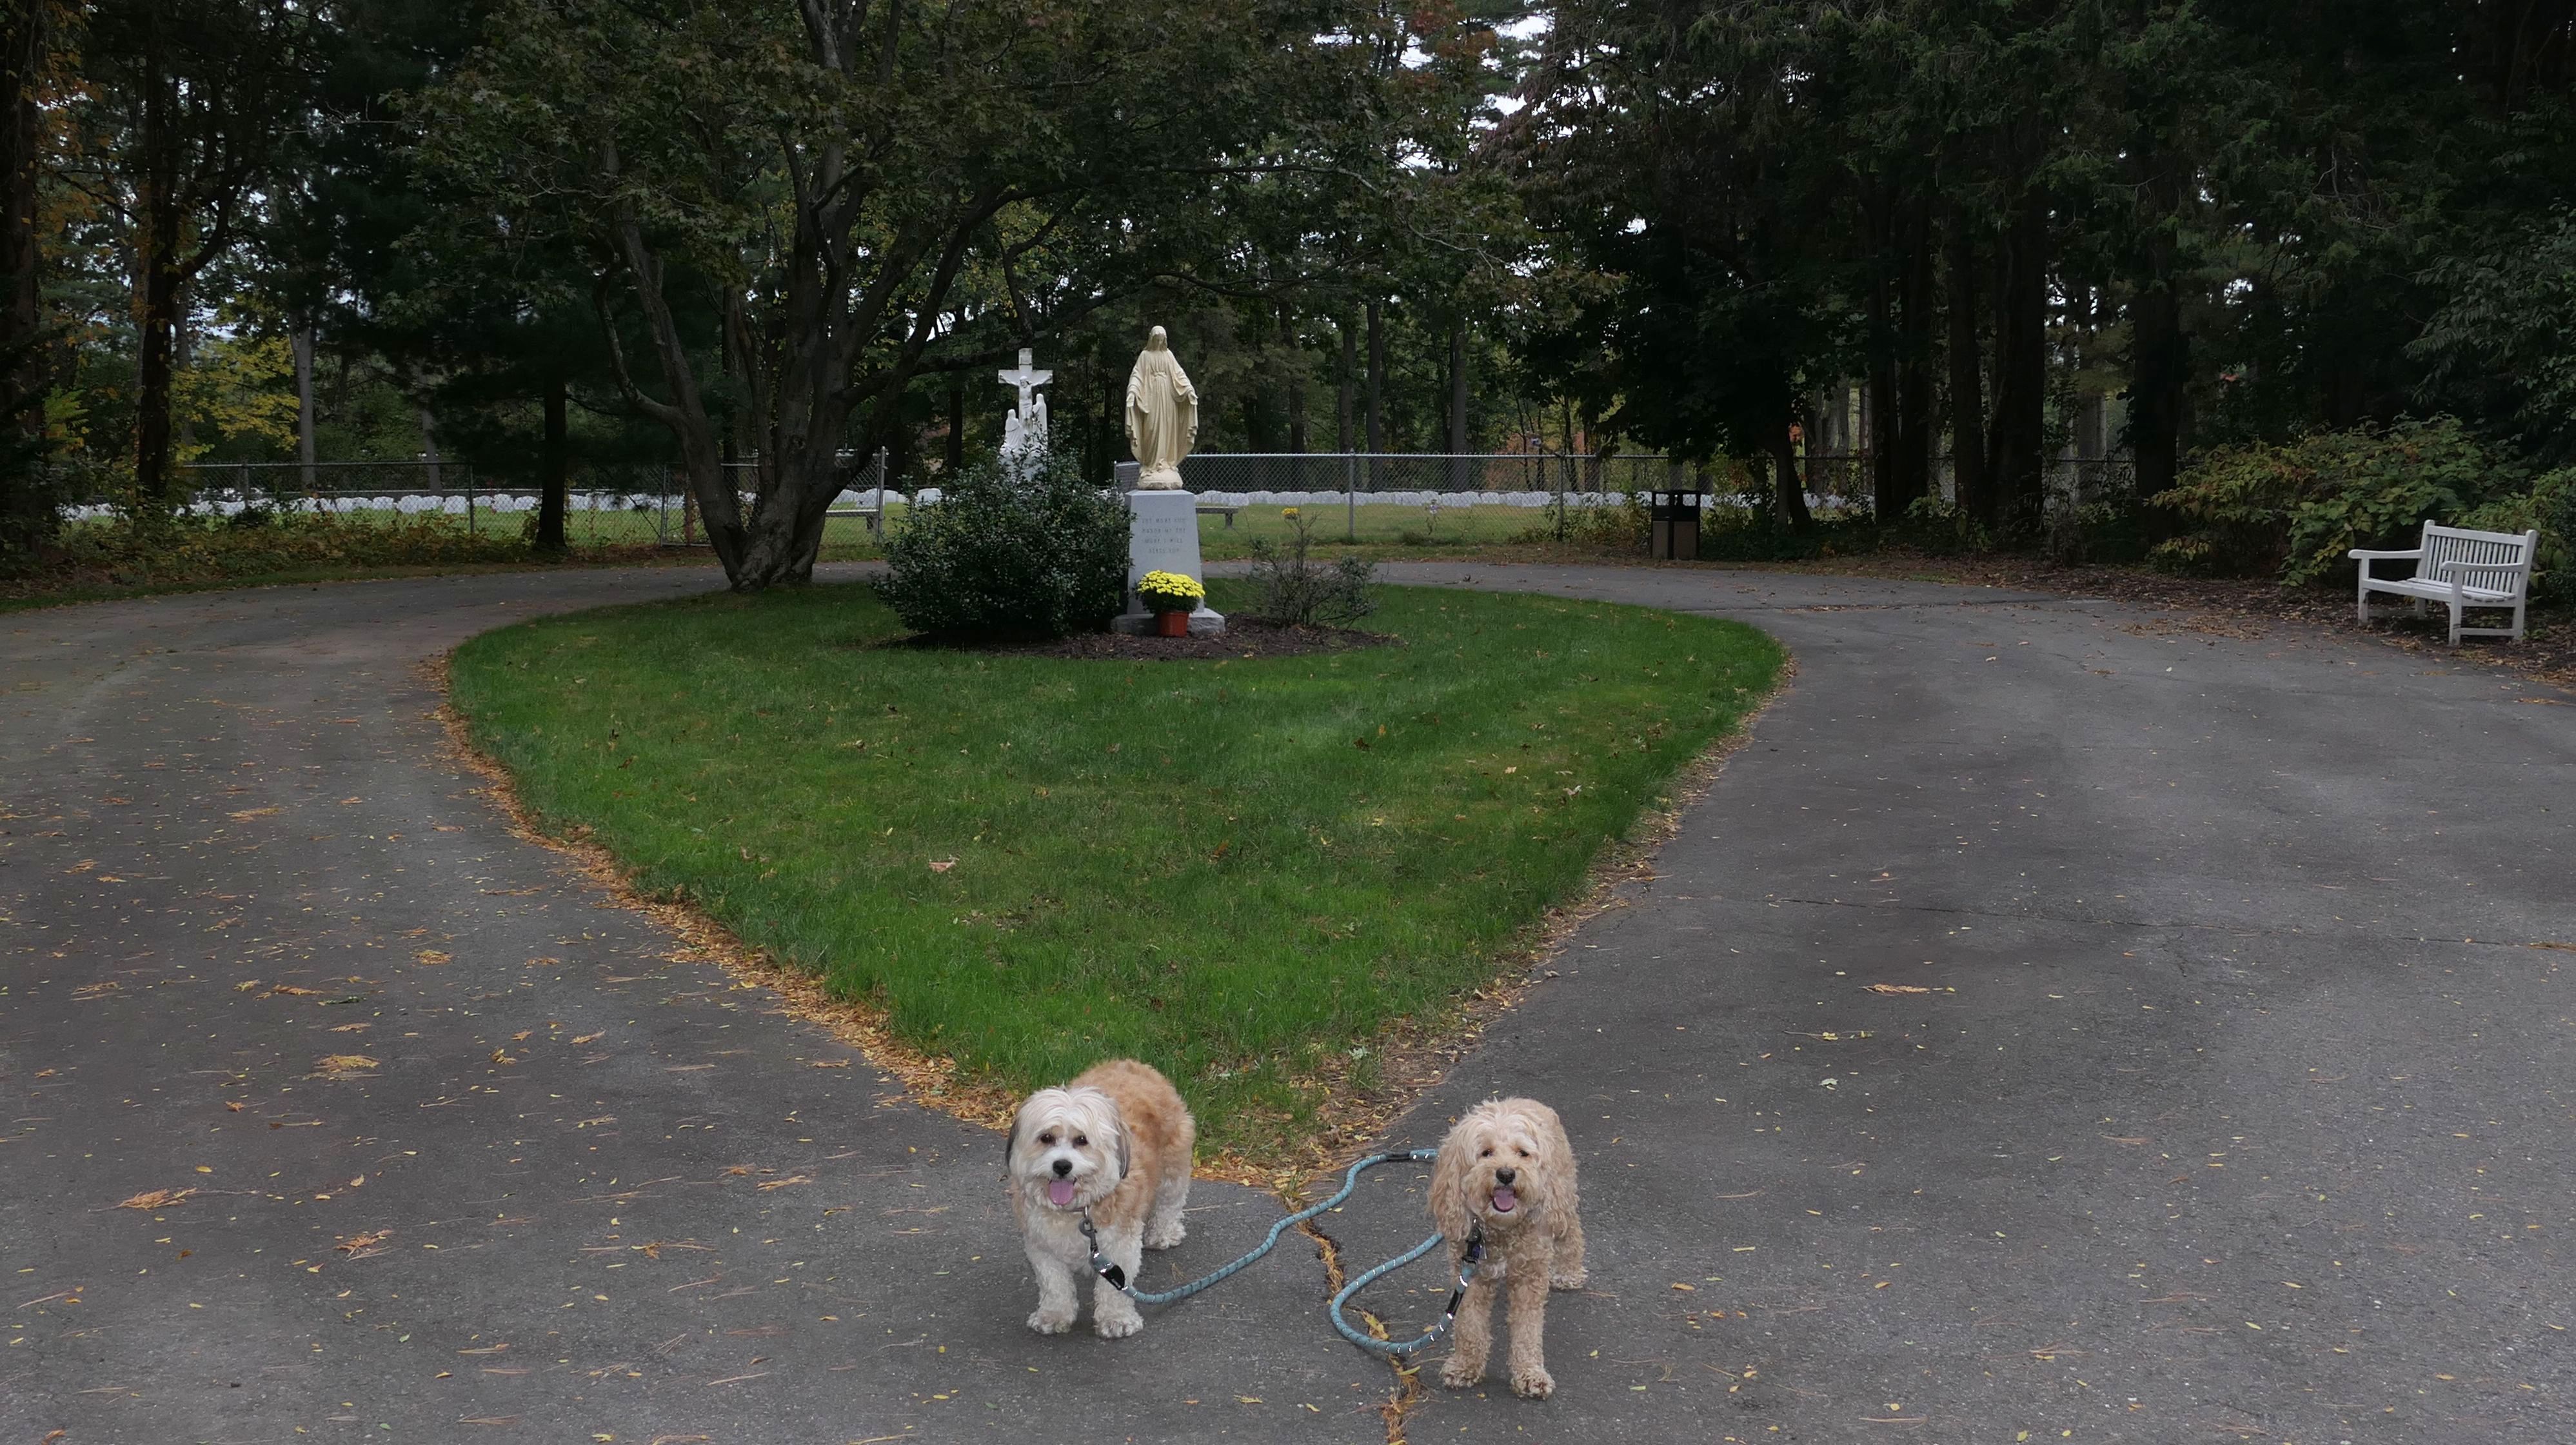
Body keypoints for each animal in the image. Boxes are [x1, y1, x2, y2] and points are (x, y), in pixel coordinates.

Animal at [1005, 1059, 1195, 1338]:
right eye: (1046, 1138)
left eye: (1082, 1140)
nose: (1062, 1166)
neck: (1076, 1210)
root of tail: (1132, 1064)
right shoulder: (1041, 1245)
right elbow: (1055, 1284)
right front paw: (1054, 1315)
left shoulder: (1119, 1245)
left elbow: (1115, 1289)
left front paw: (1117, 1319)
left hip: (1174, 1166)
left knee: (1170, 1203)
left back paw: (1163, 1232)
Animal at [1429, 1097, 1587, 1398]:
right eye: (1486, 1152)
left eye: (1522, 1153)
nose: (1505, 1174)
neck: (1502, 1229)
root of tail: (1529, 1100)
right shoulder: (1470, 1275)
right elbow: (1469, 1325)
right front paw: (1466, 1365)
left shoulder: (1530, 1276)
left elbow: (1527, 1330)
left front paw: (1530, 1373)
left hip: (1561, 1198)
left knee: (1571, 1232)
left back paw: (1569, 1272)